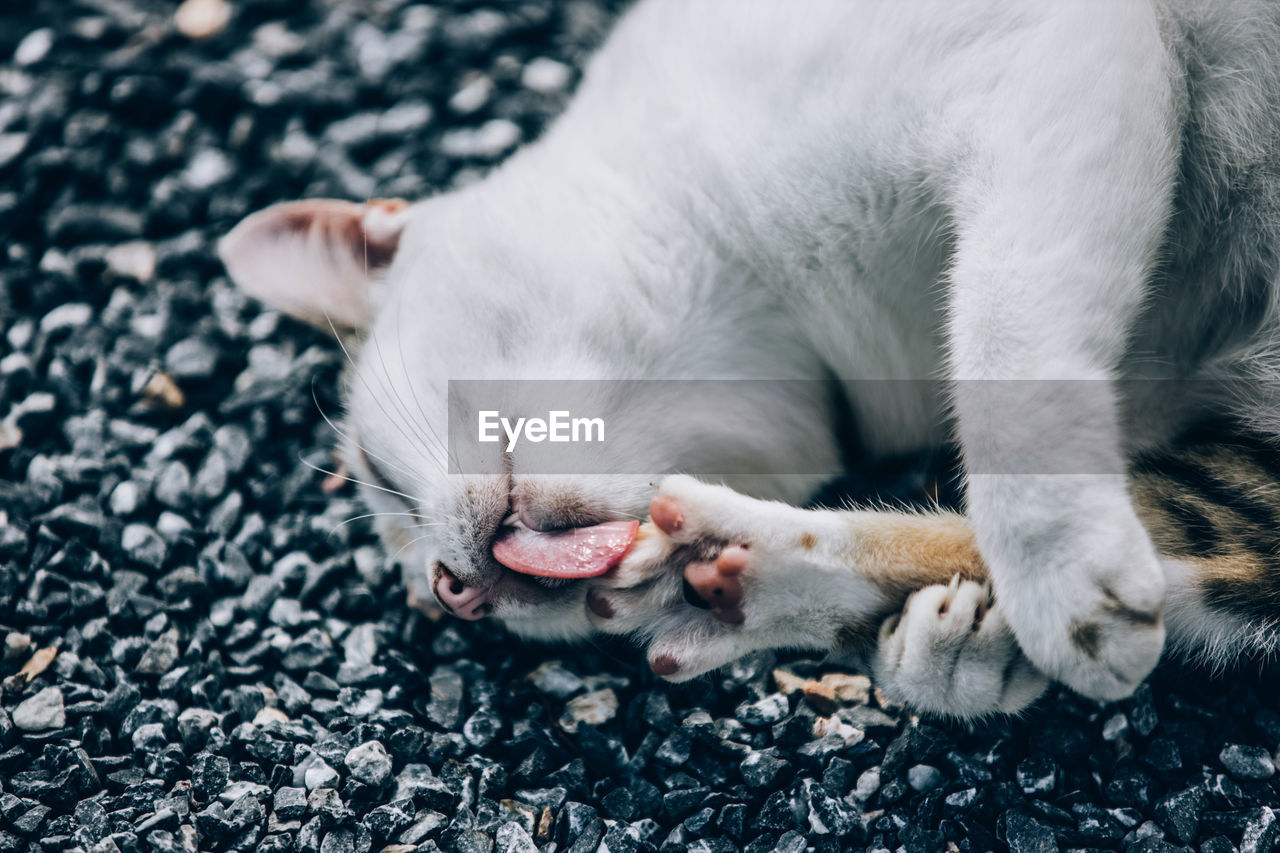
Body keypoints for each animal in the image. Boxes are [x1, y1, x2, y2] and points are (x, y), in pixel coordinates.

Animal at [220, 0, 1280, 712]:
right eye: (434, 598)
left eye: (376, 471)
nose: (454, 591)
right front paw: (962, 642)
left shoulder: (1049, 61)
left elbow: (1005, 339)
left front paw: (1055, 560)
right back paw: (750, 576)